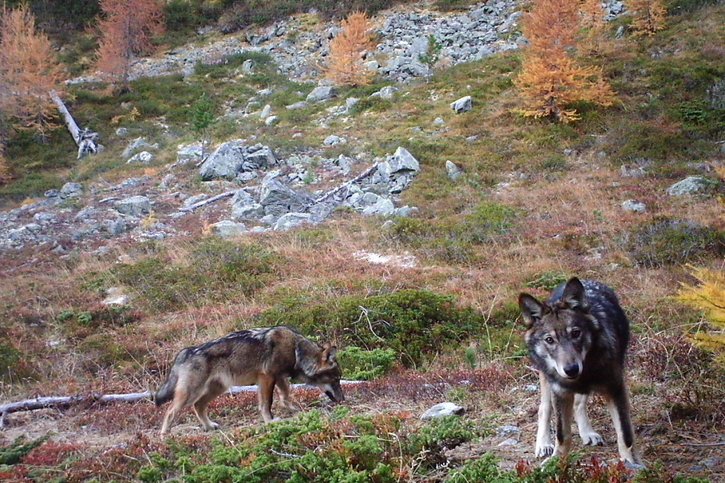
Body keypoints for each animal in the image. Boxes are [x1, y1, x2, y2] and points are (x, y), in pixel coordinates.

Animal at [152, 328, 342, 436]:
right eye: (336, 379)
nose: (343, 399)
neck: (296, 350)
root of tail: (185, 352)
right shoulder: (266, 377)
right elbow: (267, 403)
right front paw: (270, 421)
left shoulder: (279, 377)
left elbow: (285, 396)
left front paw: (294, 409)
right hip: (191, 394)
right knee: (170, 411)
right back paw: (164, 436)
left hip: (217, 389)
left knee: (198, 406)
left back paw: (209, 426)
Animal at [516, 278, 640, 466]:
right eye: (549, 340)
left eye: (576, 333)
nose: (571, 369)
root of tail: (588, 280)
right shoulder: (560, 393)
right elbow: (562, 435)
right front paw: (556, 462)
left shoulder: (616, 389)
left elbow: (625, 434)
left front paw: (629, 463)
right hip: (546, 380)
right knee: (543, 408)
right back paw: (544, 444)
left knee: (578, 404)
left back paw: (587, 434)